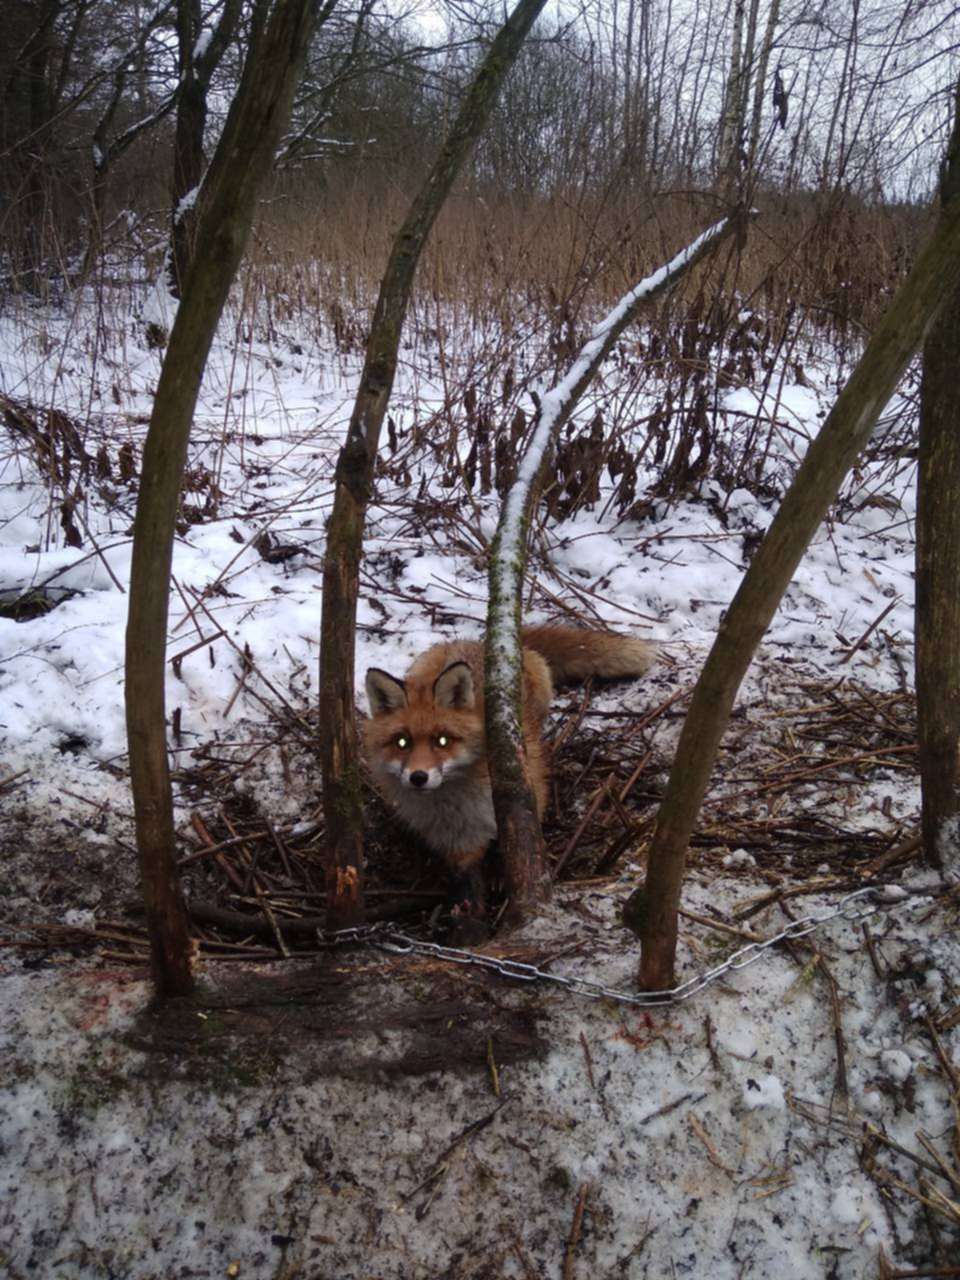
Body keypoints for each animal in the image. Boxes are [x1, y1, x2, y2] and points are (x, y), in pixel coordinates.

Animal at [363, 622, 660, 916]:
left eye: (442, 741)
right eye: (402, 742)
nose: (418, 777)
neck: (456, 806)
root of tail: (481, 642)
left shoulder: (529, 793)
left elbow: (508, 843)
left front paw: (500, 875)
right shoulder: (455, 841)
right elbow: (465, 882)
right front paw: (467, 916)